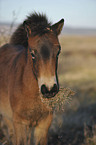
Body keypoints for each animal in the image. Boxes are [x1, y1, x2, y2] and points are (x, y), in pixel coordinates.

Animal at [0, 13, 64, 144]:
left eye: (58, 51)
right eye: (32, 53)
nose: (49, 89)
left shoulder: (44, 123)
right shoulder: (19, 123)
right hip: (7, 117)